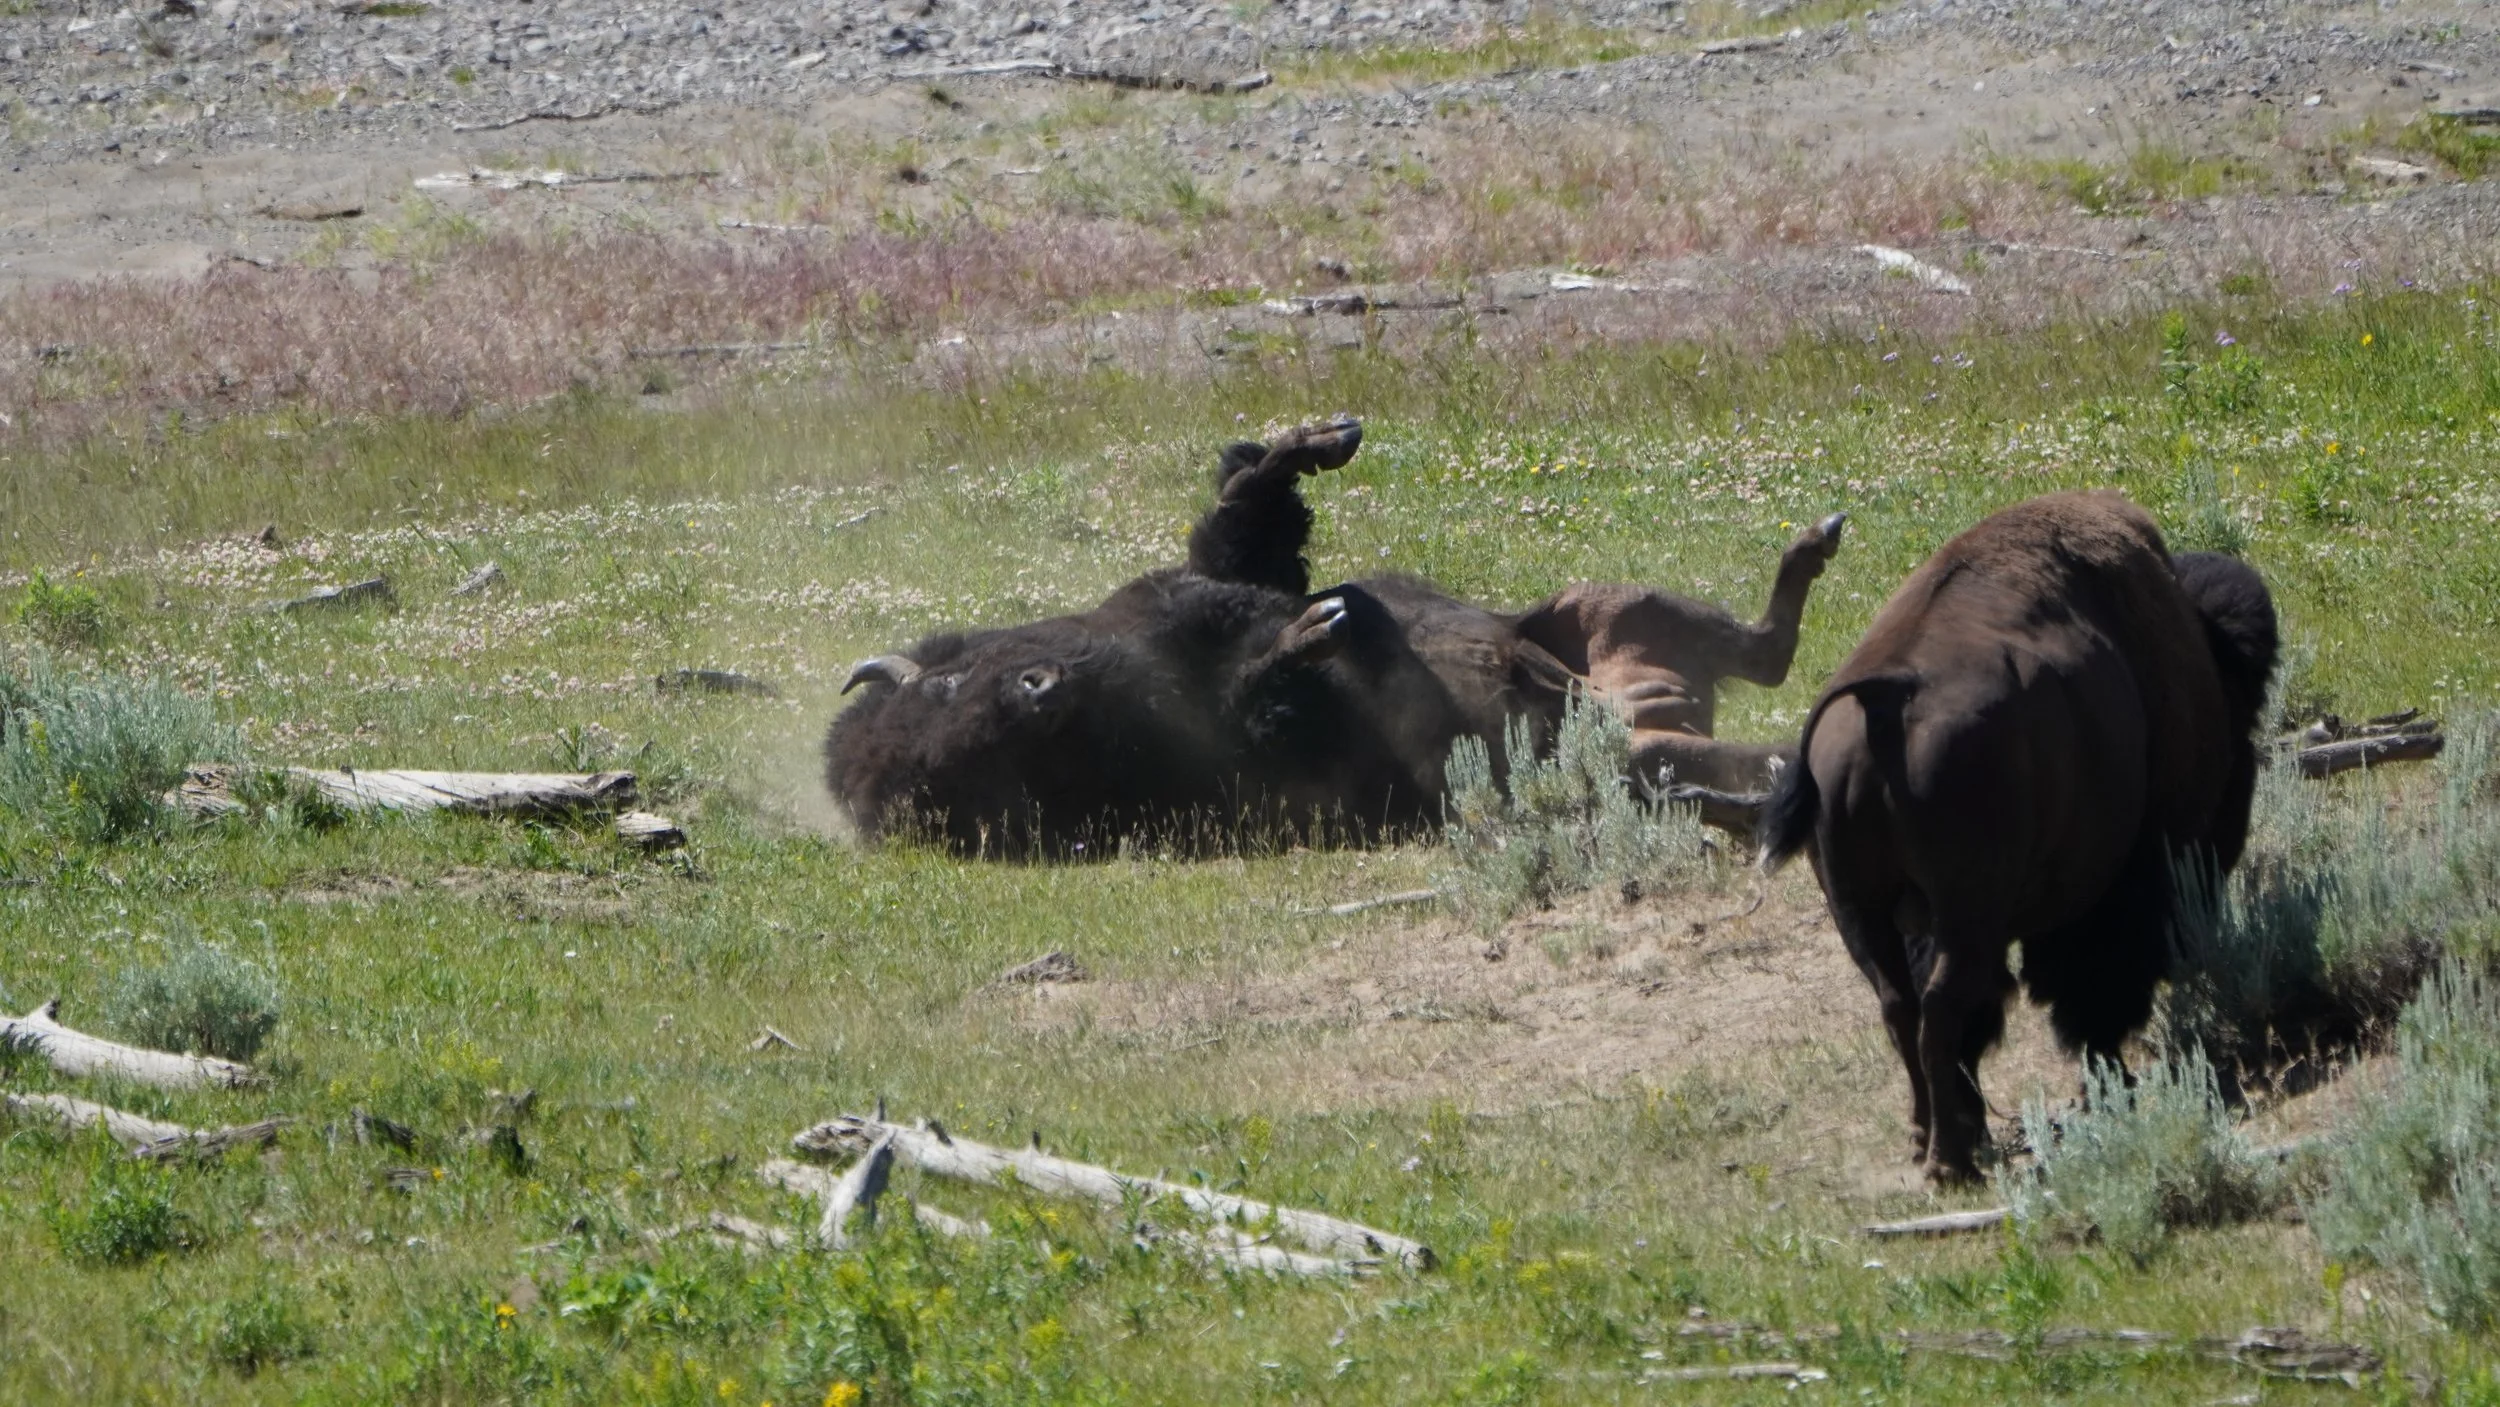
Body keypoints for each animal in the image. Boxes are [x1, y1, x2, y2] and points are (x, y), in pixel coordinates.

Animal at [825, 417, 1848, 854]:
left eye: (943, 687)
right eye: (974, 768)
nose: (1040, 692)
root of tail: (1641, 726)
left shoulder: (1221, 574)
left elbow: (1248, 513)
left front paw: (1325, 439)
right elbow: (1275, 682)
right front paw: (1317, 630)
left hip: (1603, 605)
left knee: (1760, 651)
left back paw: (1816, 539)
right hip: (1627, 747)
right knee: (1749, 693)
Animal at [1759, 491, 2279, 1184]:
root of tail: (1883, 699)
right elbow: (2092, 990)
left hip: (1860, 909)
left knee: (1903, 1006)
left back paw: (1928, 1138)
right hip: (1965, 913)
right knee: (1942, 1007)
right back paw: (1951, 1163)